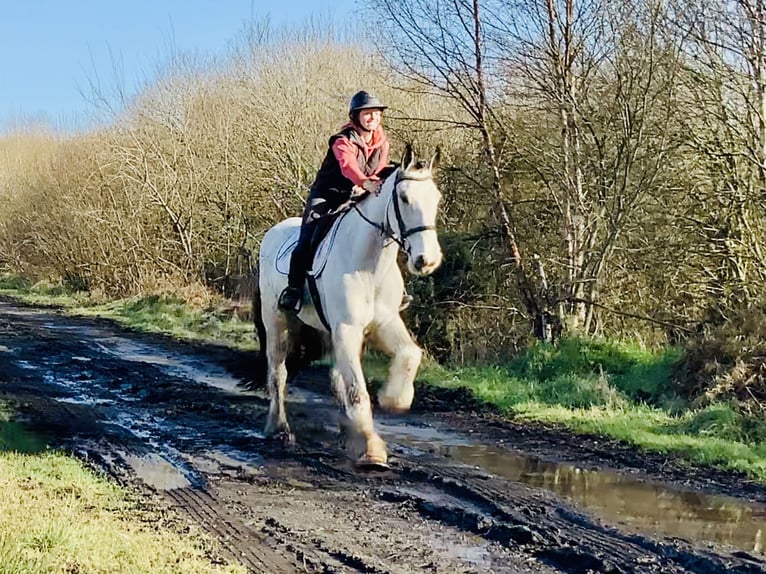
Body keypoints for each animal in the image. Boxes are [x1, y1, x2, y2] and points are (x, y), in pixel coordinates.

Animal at [256, 144, 443, 468]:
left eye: (437, 198)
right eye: (404, 198)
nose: (426, 260)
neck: (370, 264)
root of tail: (273, 232)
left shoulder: (384, 322)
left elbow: (409, 355)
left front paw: (394, 399)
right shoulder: (347, 329)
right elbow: (357, 390)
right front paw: (370, 448)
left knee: (334, 378)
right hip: (277, 320)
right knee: (278, 372)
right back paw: (279, 428)